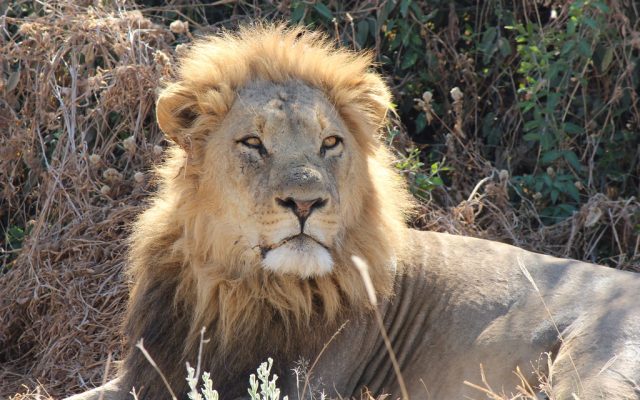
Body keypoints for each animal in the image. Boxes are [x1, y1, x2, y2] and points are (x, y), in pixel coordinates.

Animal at [67, 25, 640, 400]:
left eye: (330, 143)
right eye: (253, 143)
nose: (305, 203)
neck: (234, 289)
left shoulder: (304, 386)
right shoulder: (147, 373)